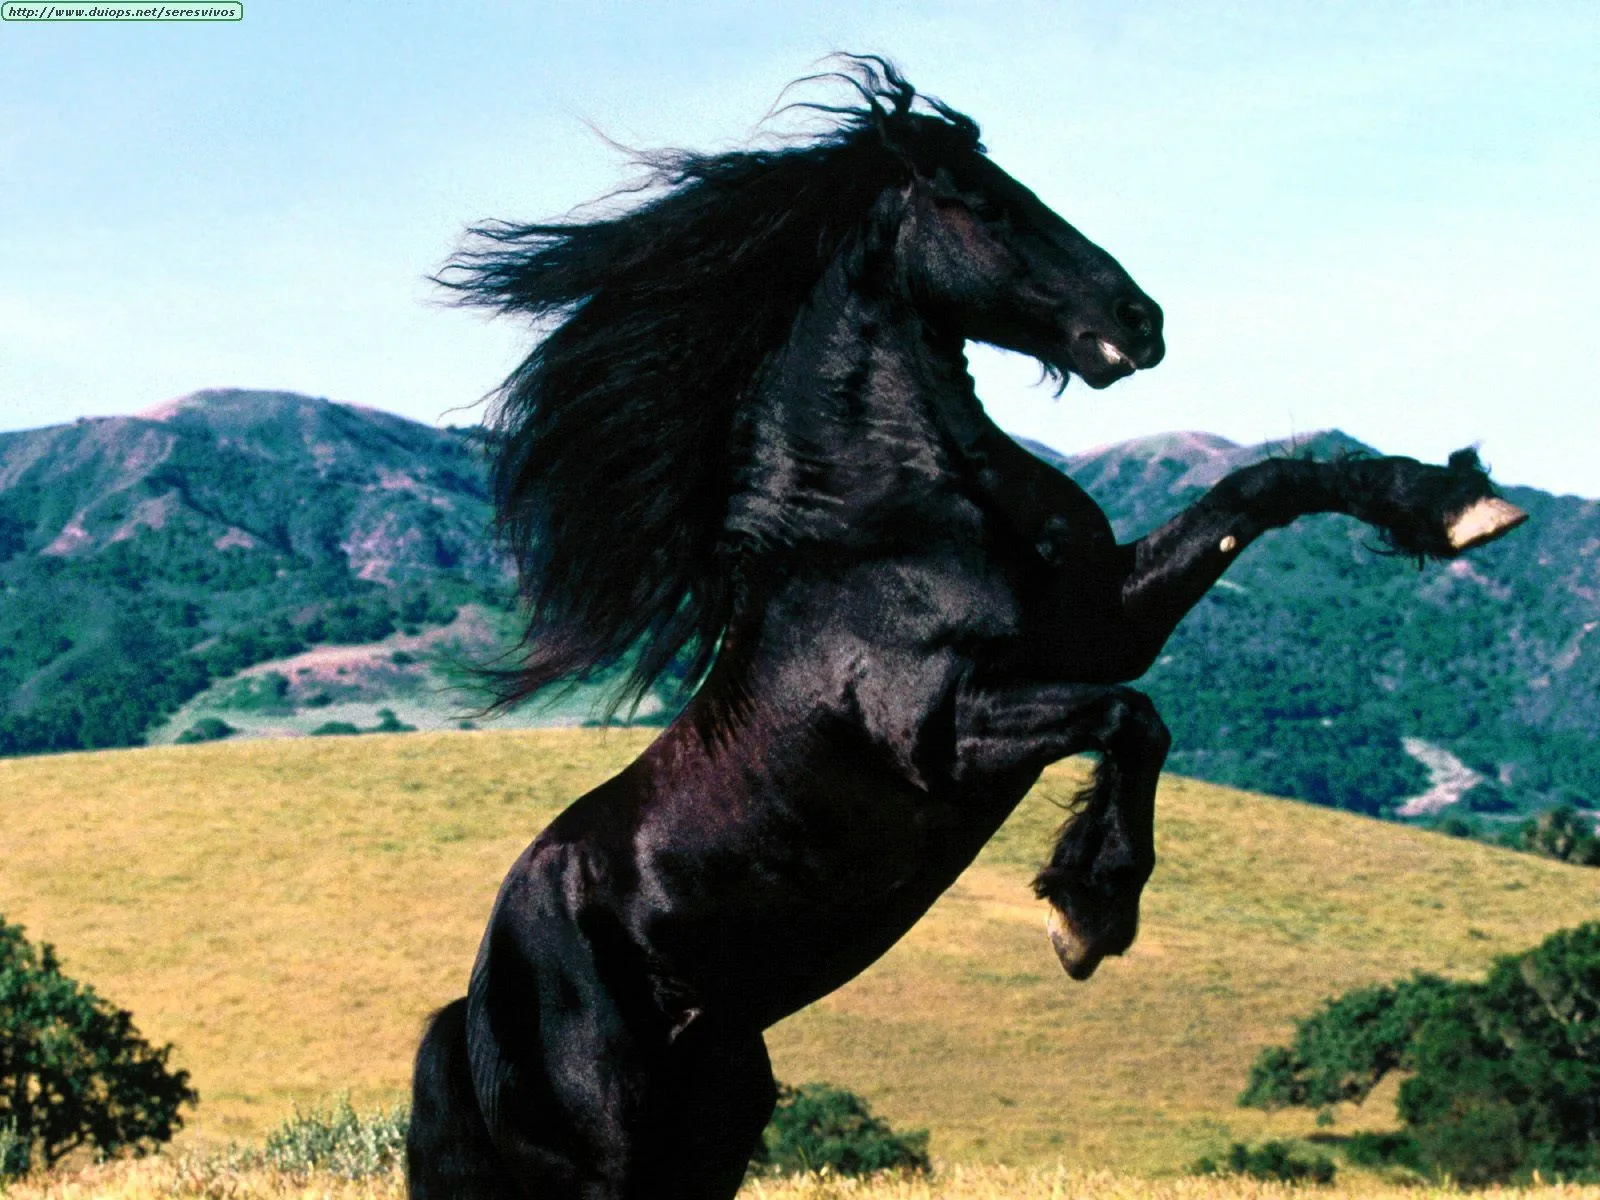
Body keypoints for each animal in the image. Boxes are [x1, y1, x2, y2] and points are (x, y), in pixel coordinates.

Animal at [406, 58, 1526, 1200]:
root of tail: (476, 1001)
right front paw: (1086, 914)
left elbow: (1259, 492)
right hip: (609, 1154)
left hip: (714, 1122)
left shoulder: (1102, 625)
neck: (890, 522)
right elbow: (1132, 718)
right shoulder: (945, 736)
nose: (1141, 318)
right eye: (985, 204)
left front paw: (1455, 505)